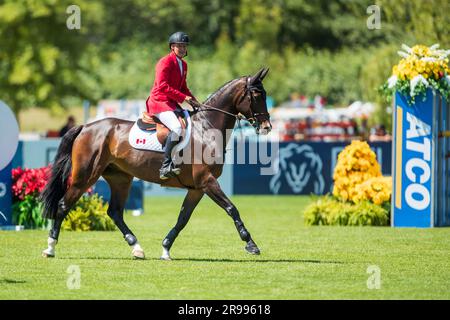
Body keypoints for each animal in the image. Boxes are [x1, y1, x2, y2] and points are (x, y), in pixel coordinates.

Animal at [41, 67, 270, 260]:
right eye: (257, 95)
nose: (267, 126)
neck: (206, 129)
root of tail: (86, 127)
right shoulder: (207, 181)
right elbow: (232, 208)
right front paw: (251, 244)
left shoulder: (197, 188)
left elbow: (183, 219)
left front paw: (166, 248)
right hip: (84, 177)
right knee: (63, 205)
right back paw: (50, 248)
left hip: (120, 178)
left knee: (115, 212)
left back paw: (137, 248)